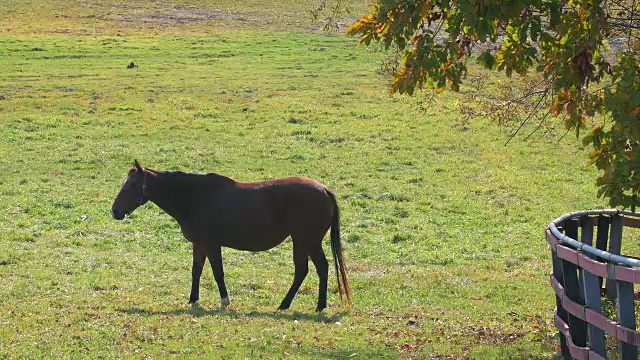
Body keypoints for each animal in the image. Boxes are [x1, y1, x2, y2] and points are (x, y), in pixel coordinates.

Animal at [110, 160, 350, 312]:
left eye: (132, 185)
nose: (115, 211)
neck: (194, 197)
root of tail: (324, 189)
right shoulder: (199, 244)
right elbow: (196, 271)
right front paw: (193, 300)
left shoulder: (211, 244)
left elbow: (218, 272)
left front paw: (224, 301)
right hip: (307, 242)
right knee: (315, 269)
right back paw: (309, 305)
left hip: (305, 240)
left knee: (309, 269)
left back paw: (297, 304)